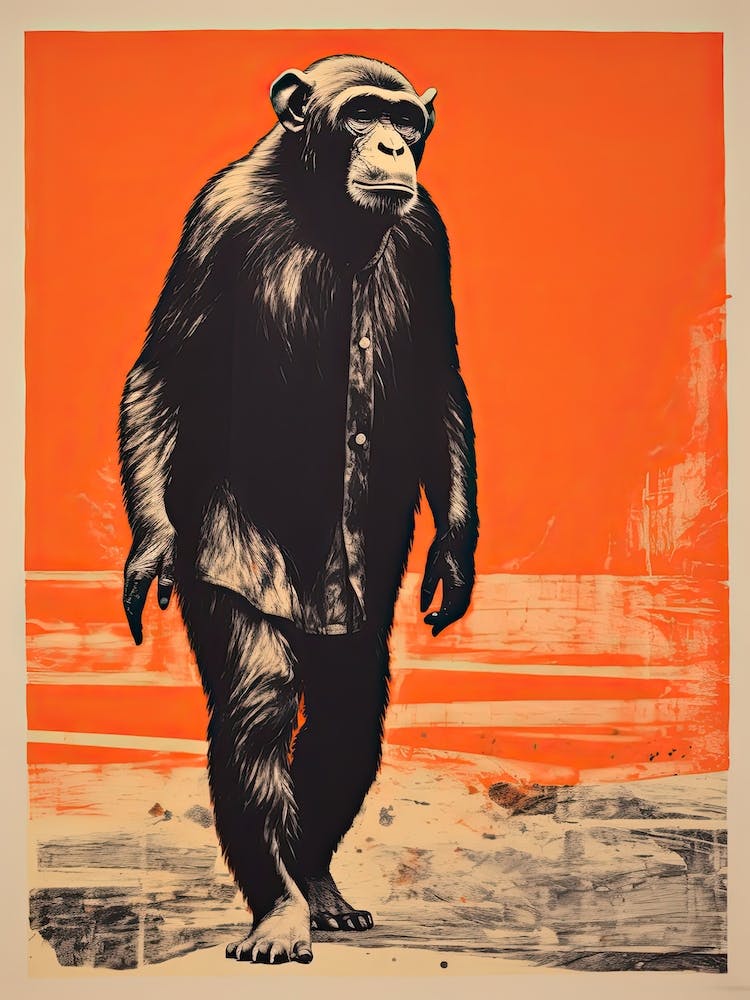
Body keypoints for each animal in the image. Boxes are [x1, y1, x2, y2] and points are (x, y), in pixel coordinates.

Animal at [119, 54, 478, 965]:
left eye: (407, 121)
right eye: (360, 114)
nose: (392, 145)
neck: (323, 211)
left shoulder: (432, 234)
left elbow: (438, 384)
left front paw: (455, 558)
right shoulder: (215, 223)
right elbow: (166, 370)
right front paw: (150, 551)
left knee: (349, 703)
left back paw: (314, 887)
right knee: (263, 698)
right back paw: (280, 909)